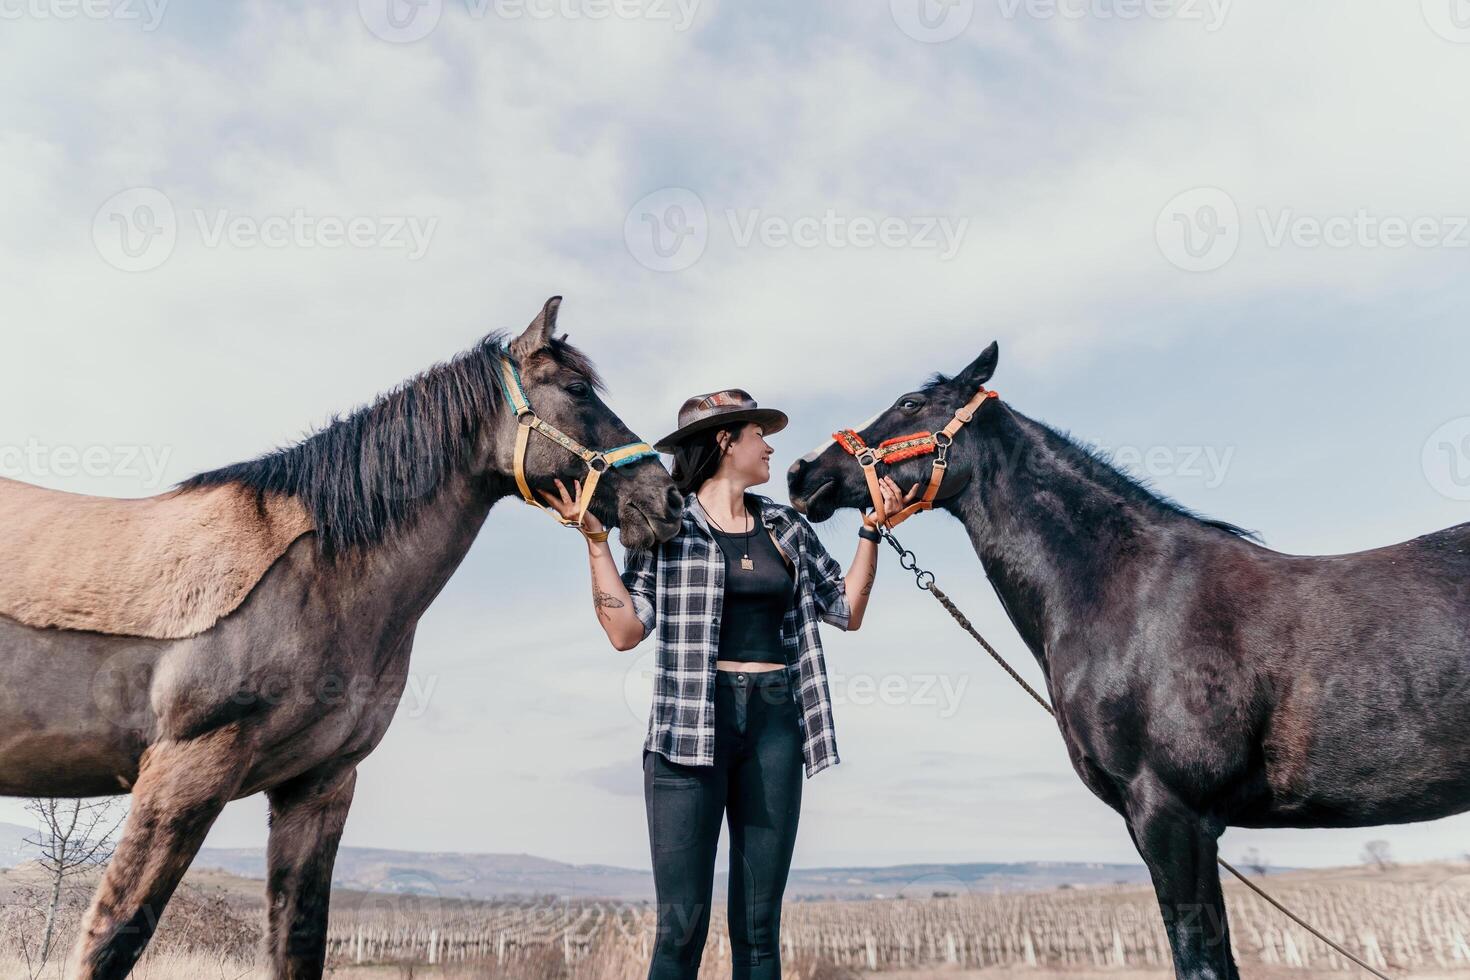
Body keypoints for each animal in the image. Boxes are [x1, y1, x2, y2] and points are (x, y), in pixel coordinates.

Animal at [0, 299, 679, 980]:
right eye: (576, 391)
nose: (667, 499)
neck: (321, 578)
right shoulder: (183, 774)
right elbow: (111, 940)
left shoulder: (320, 787)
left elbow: (299, 943)